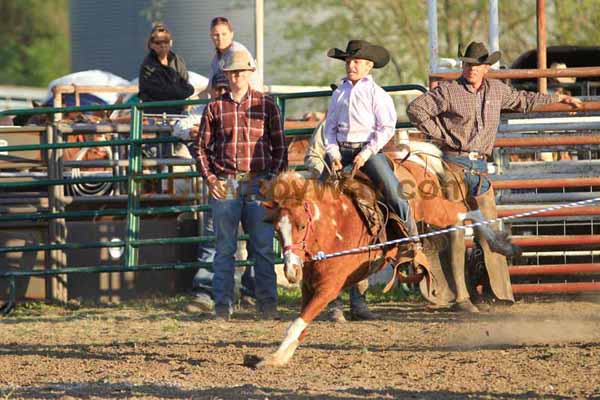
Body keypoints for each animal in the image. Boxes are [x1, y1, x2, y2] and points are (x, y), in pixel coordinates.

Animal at [250, 145, 520, 368]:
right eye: (277, 230)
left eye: (302, 225)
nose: (290, 271)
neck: (333, 228)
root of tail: (412, 158)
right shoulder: (309, 287)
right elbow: (298, 325)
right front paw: (280, 355)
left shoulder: (328, 288)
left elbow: (299, 322)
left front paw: (273, 358)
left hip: (436, 210)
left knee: (466, 211)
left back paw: (500, 243)